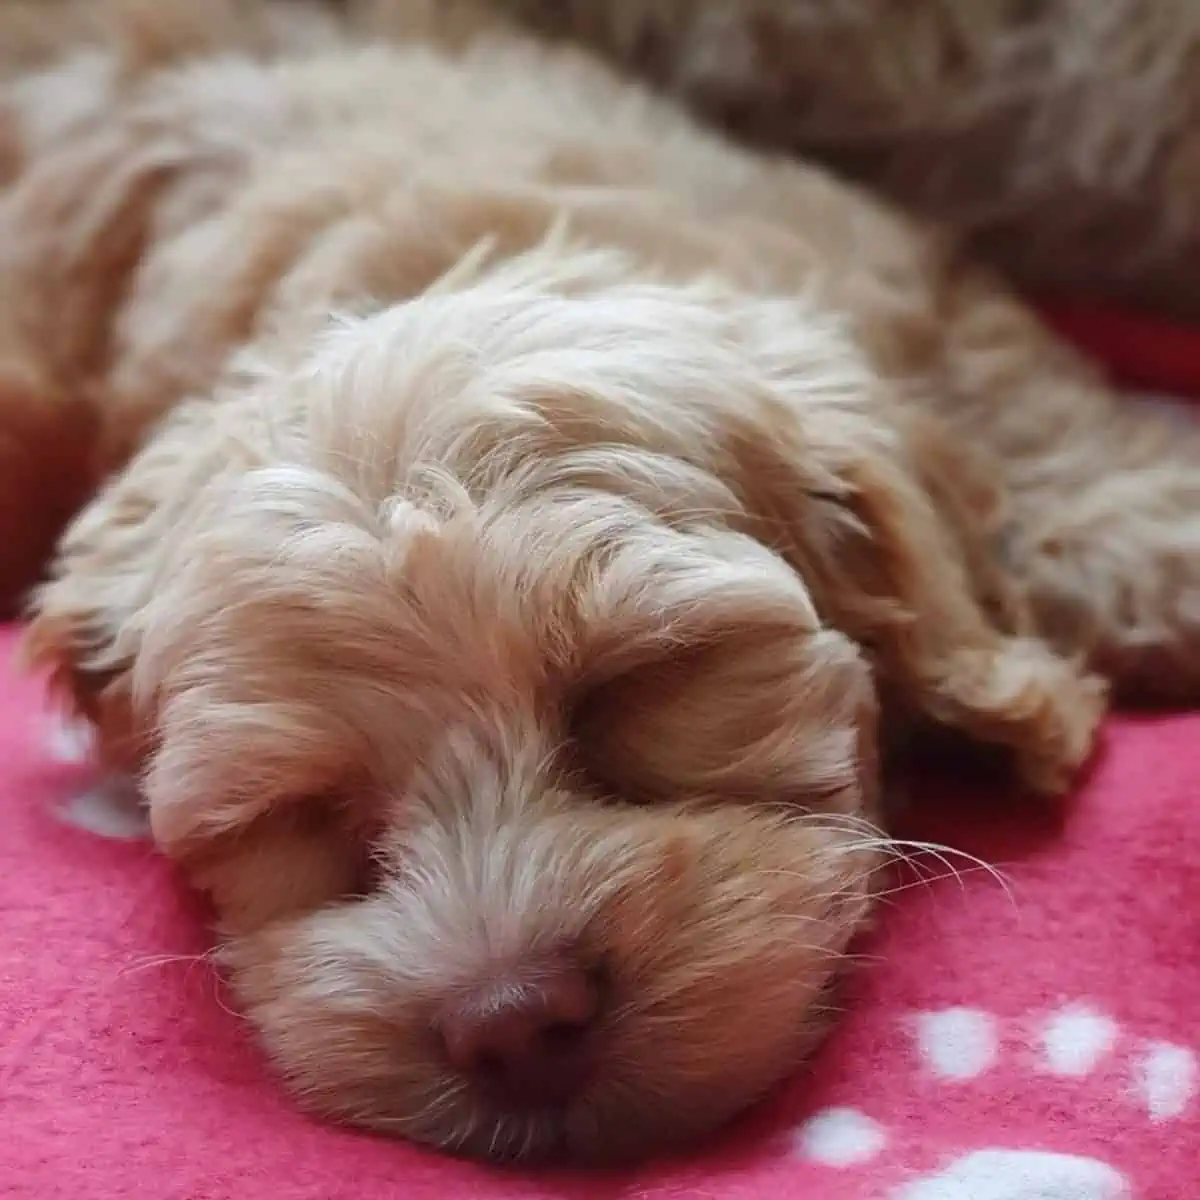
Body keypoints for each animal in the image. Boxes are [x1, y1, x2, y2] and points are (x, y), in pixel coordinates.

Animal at [0, 0, 1195, 1166]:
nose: (513, 1022)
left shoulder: (889, 266)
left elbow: (1019, 395)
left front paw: (1142, 549)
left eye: (639, 686)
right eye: (302, 811)